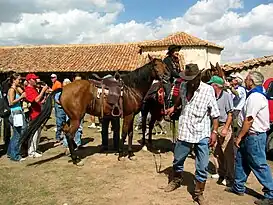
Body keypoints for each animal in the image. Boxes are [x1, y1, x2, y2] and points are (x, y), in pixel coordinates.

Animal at [21, 55, 169, 166]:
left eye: (164, 65)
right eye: (155, 65)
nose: (167, 77)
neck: (131, 88)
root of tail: (63, 88)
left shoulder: (131, 115)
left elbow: (131, 133)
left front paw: (131, 154)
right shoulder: (128, 115)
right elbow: (124, 133)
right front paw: (121, 154)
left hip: (72, 117)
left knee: (65, 130)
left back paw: (73, 152)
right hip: (77, 118)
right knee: (69, 134)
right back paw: (75, 159)